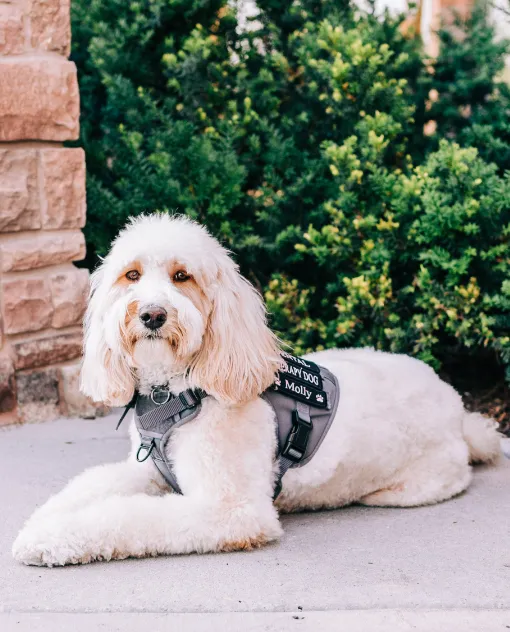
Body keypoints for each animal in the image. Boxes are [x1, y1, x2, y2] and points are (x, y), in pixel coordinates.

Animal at [11, 215, 502, 564]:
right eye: (131, 275)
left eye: (182, 276)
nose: (151, 314)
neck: (178, 392)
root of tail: (458, 406)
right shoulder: (149, 470)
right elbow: (89, 487)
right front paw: (41, 521)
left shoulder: (230, 510)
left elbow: (125, 515)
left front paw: (49, 538)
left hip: (418, 484)